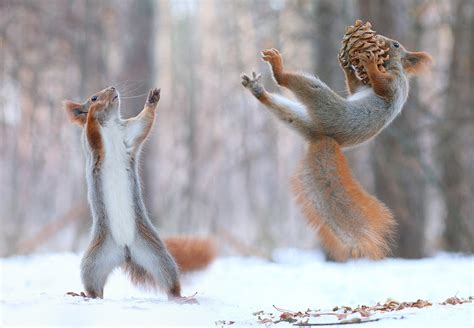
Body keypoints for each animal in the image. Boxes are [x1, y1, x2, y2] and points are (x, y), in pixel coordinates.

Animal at [64, 85, 216, 300]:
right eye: (93, 97)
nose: (112, 88)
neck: (110, 125)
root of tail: (125, 251)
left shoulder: (129, 134)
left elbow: (144, 122)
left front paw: (152, 99)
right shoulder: (92, 145)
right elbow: (92, 131)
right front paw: (93, 111)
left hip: (156, 254)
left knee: (169, 281)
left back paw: (182, 298)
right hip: (93, 261)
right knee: (95, 288)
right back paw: (84, 295)